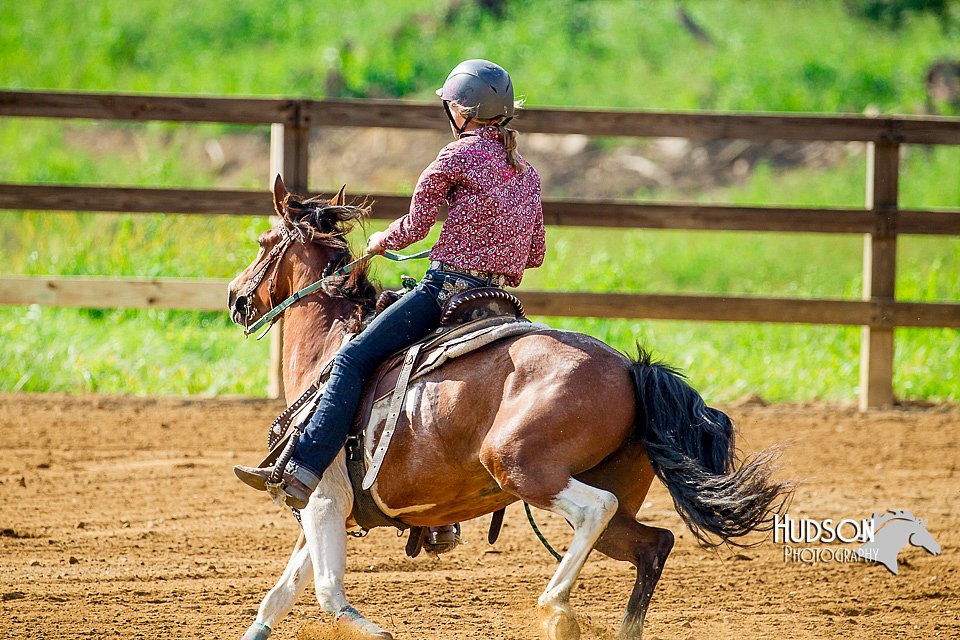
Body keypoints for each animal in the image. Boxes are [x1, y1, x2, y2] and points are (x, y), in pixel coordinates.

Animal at [229, 176, 792, 640]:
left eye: (262, 242)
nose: (235, 297)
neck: (331, 347)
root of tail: (632, 370)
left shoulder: (322, 498)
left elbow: (328, 594)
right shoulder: (328, 508)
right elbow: (280, 594)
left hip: (523, 468)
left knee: (598, 510)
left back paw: (555, 608)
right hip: (612, 498)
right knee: (653, 544)